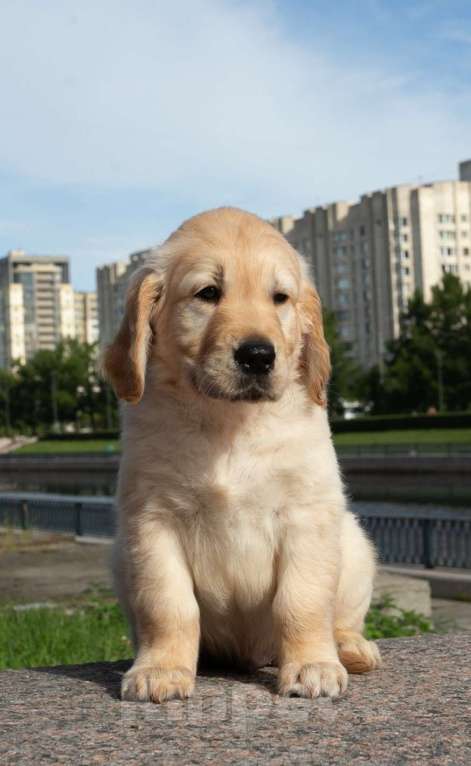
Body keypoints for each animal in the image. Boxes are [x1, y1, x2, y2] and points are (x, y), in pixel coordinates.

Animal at [105, 207, 382, 704]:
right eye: (208, 293)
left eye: (280, 298)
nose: (257, 355)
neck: (228, 424)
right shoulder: (151, 520)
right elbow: (167, 604)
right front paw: (160, 669)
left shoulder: (306, 515)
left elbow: (302, 600)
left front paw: (312, 666)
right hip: (119, 555)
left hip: (354, 542)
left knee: (342, 617)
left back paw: (350, 649)